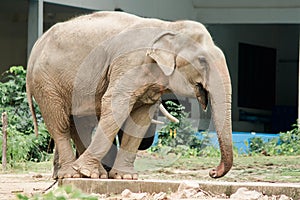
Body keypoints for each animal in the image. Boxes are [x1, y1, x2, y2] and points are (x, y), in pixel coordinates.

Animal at [25, 10, 233, 180]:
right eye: (202, 61)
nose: (212, 172)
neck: (169, 27)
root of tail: (36, 45)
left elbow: (140, 117)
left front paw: (125, 177)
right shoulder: (130, 63)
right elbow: (115, 104)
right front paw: (88, 172)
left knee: (78, 122)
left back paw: (90, 174)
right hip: (46, 82)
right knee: (59, 122)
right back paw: (74, 174)